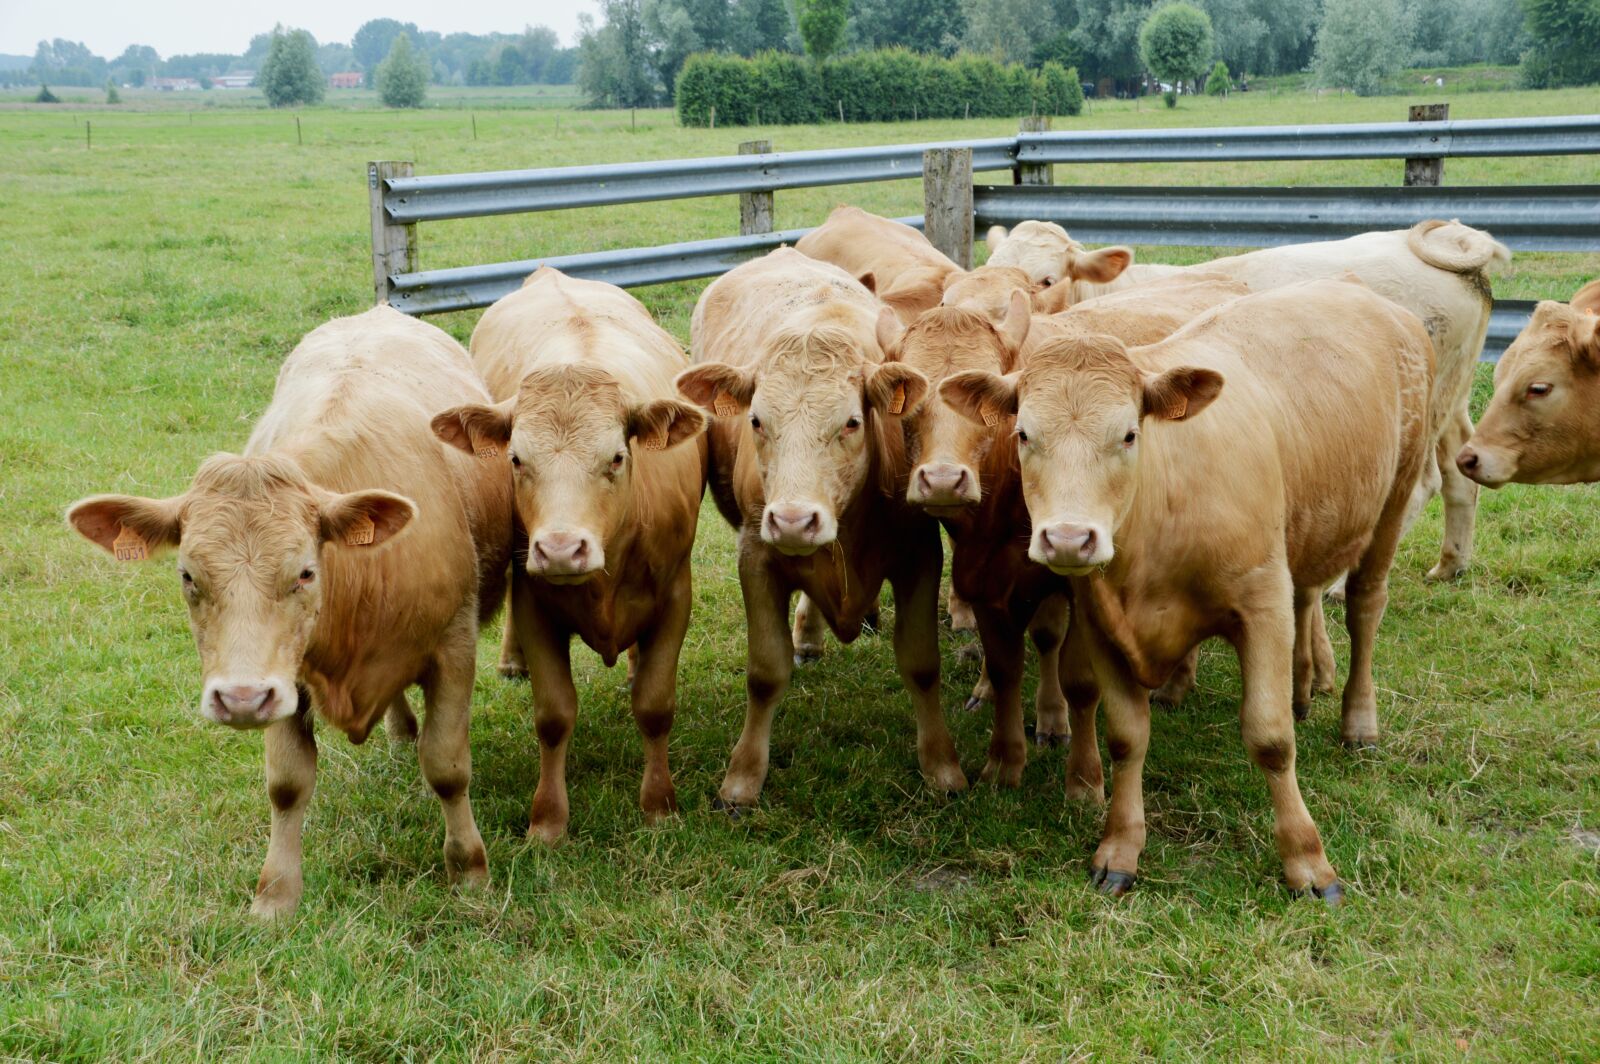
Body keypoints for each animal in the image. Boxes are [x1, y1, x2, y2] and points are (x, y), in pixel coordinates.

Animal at [66, 306, 514, 917]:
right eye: (188, 575)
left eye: (305, 571)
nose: (240, 698)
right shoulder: (287, 676)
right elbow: (287, 782)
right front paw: (276, 896)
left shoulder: (454, 645)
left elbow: (447, 766)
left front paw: (469, 872)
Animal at [431, 267, 707, 844]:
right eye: (515, 459)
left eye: (617, 457)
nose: (560, 550)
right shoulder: (535, 603)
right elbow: (554, 715)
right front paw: (548, 820)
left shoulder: (675, 596)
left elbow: (655, 705)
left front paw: (659, 806)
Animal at [676, 247, 967, 808]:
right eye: (756, 421)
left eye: (851, 422)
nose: (793, 519)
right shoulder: (756, 555)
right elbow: (766, 672)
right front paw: (743, 778)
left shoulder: (920, 555)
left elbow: (923, 664)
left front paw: (942, 766)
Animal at [940, 279, 1436, 900]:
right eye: (1024, 434)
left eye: (1130, 434)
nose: (1069, 539)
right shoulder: (1102, 624)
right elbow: (1126, 737)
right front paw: (1120, 848)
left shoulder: (1262, 604)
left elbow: (1270, 737)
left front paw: (1307, 860)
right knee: (1308, 596)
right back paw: (1300, 689)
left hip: (1394, 499)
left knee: (1365, 607)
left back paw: (1359, 723)